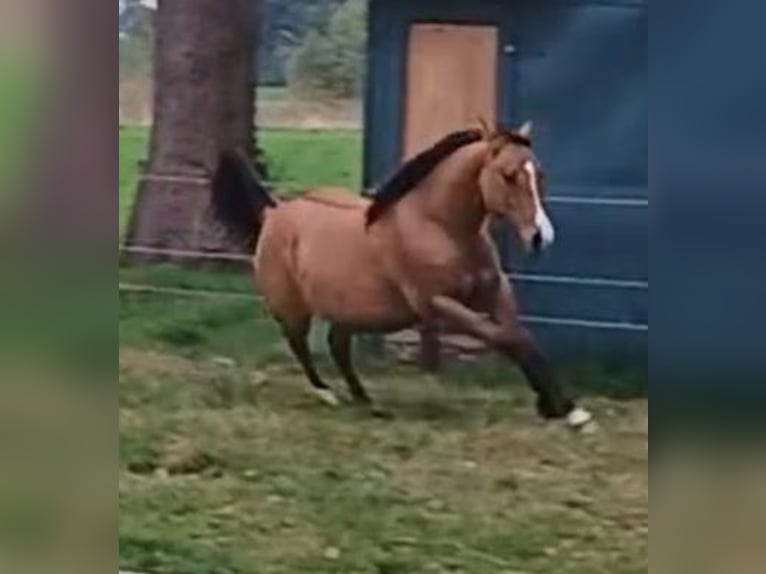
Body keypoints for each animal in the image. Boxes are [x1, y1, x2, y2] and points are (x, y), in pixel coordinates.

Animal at [210, 122, 592, 432]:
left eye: (539, 174)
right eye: (509, 175)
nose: (541, 238)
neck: (440, 226)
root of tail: (273, 212)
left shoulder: (495, 292)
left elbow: (522, 338)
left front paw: (564, 408)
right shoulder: (438, 305)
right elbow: (507, 338)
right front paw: (561, 409)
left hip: (349, 311)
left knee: (337, 346)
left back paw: (366, 400)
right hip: (293, 309)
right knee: (300, 345)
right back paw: (328, 394)